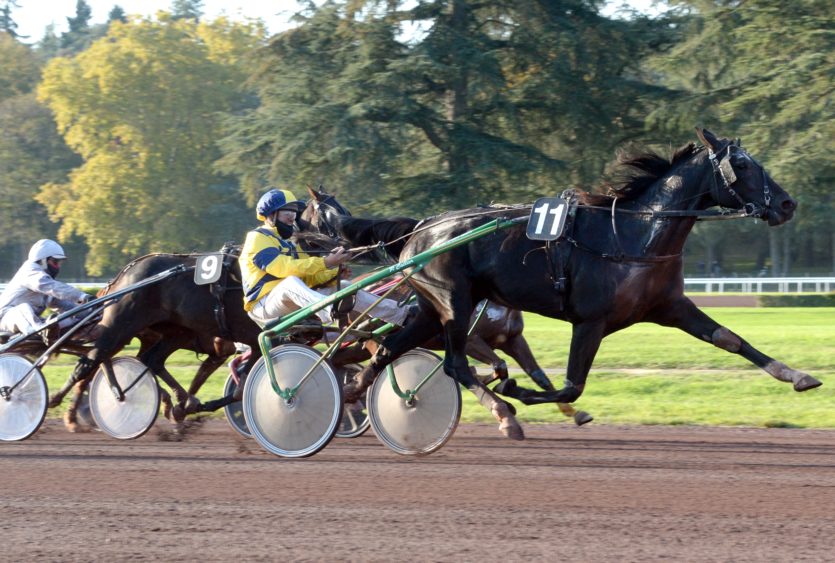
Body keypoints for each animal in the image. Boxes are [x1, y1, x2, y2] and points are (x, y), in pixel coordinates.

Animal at [306, 129, 816, 440]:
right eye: (743, 166)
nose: (787, 204)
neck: (633, 235)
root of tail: (423, 226)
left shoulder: (670, 307)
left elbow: (730, 338)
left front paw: (797, 376)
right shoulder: (590, 321)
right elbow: (570, 385)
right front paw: (519, 394)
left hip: (432, 307)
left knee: (387, 350)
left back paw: (350, 395)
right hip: (454, 301)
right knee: (453, 363)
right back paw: (503, 413)